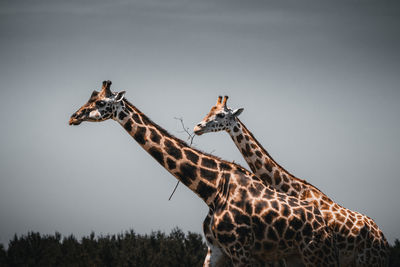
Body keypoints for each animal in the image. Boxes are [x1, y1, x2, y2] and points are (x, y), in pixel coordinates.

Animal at [70, 81, 340, 267]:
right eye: (89, 98)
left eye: (101, 103)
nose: (73, 117)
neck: (211, 189)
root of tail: (326, 227)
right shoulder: (215, 250)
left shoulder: (241, 249)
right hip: (296, 256)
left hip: (316, 253)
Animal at [193, 95, 388, 266]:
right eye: (208, 111)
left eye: (220, 115)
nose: (197, 127)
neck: (292, 189)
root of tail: (384, 240)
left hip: (367, 260)